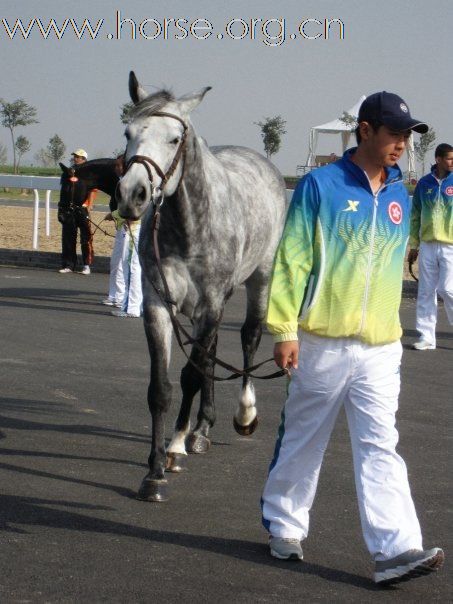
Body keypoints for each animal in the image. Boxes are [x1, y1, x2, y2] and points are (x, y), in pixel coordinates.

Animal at [116, 72, 286, 500]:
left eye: (175, 138)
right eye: (128, 132)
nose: (131, 194)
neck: (189, 225)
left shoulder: (211, 304)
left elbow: (191, 375)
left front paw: (174, 448)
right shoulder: (159, 305)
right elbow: (161, 388)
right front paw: (154, 471)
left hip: (259, 278)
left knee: (247, 338)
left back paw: (242, 415)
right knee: (209, 354)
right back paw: (201, 428)